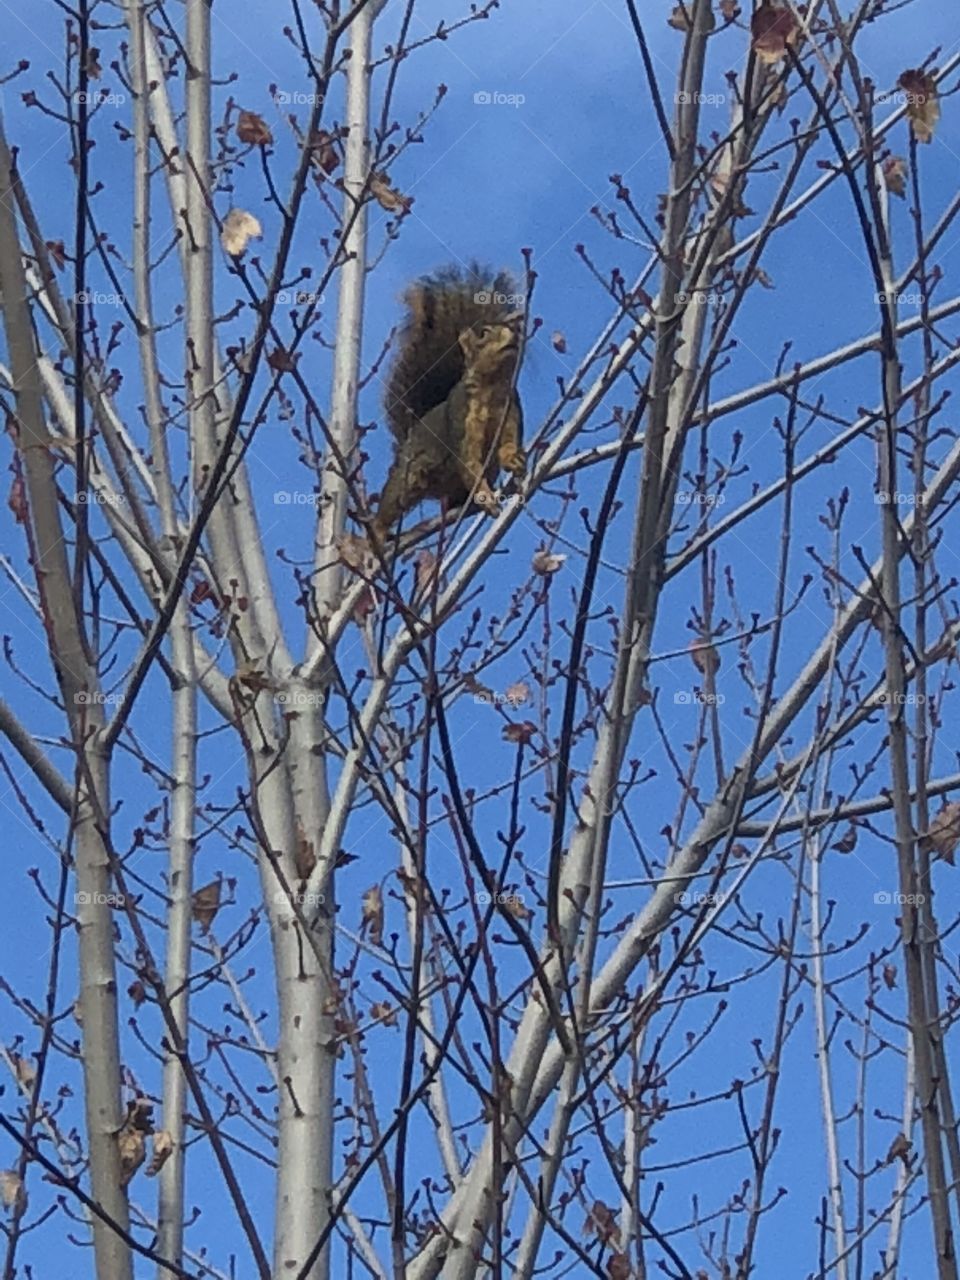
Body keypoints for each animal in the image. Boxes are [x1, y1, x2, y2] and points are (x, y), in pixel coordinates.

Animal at [370, 264, 525, 541]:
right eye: (483, 334)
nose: (515, 334)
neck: (491, 386)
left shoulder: (511, 410)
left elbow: (508, 442)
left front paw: (513, 459)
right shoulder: (462, 416)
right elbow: (468, 460)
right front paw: (484, 495)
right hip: (409, 472)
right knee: (392, 500)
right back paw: (377, 531)